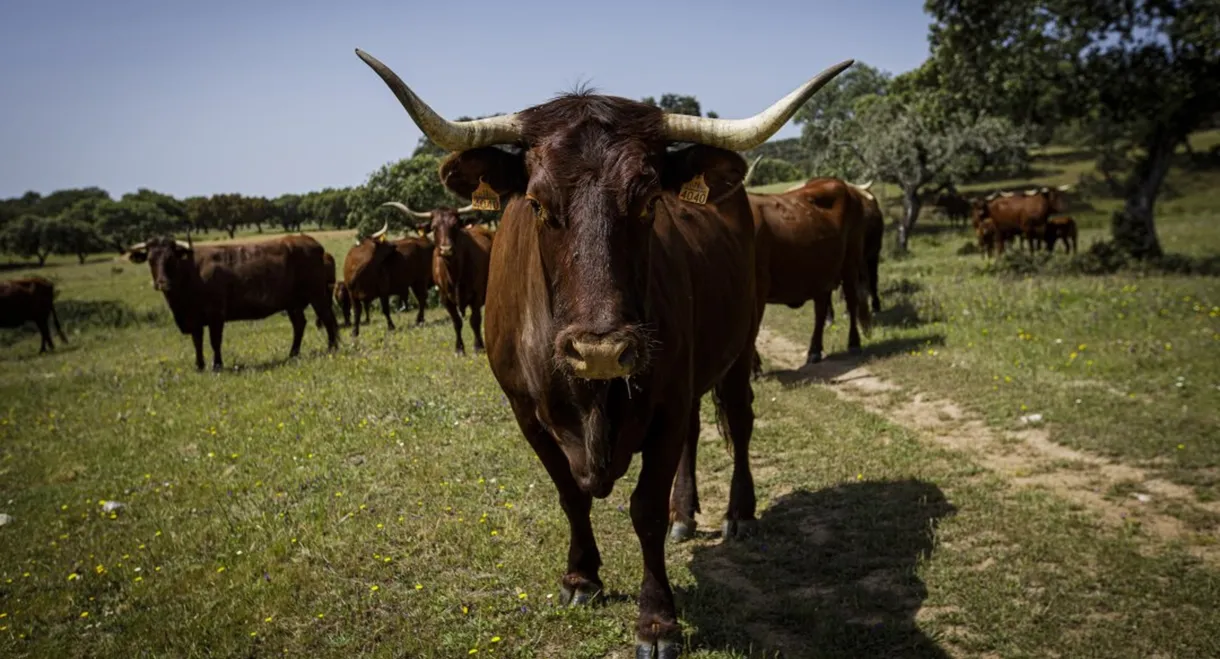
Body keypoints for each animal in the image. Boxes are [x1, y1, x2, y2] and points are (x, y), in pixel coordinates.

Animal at [124, 235, 339, 370]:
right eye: (150, 259)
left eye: (171, 259)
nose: (161, 283)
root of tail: (313, 244)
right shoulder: (194, 319)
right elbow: (197, 342)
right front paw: (199, 365)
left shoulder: (215, 314)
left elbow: (214, 341)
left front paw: (217, 365)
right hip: (292, 303)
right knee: (299, 324)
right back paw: (293, 353)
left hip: (317, 295)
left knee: (328, 318)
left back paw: (332, 348)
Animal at [383, 201, 492, 356]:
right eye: (434, 227)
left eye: (455, 225)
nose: (446, 249)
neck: (454, 272)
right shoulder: (445, 298)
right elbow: (457, 322)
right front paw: (459, 349)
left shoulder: (476, 296)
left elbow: (475, 320)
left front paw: (478, 347)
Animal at [746, 174, 873, 368]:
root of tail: (840, 183)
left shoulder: (760, 285)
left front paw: (753, 367)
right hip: (822, 271)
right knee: (821, 310)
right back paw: (814, 351)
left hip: (850, 262)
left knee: (851, 301)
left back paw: (853, 343)